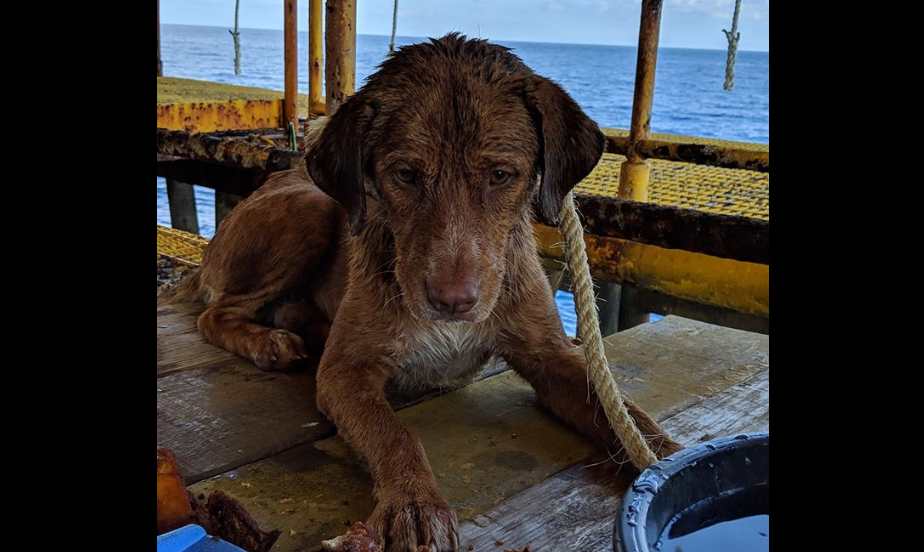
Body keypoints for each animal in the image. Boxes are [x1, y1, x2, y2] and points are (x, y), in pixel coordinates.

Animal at [173, 35, 680, 552]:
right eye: (405, 175)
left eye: (501, 175)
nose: (453, 301)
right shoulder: (344, 372)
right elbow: (394, 432)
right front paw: (415, 503)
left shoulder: (551, 356)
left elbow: (623, 414)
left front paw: (667, 457)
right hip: (309, 209)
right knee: (214, 314)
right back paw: (268, 341)